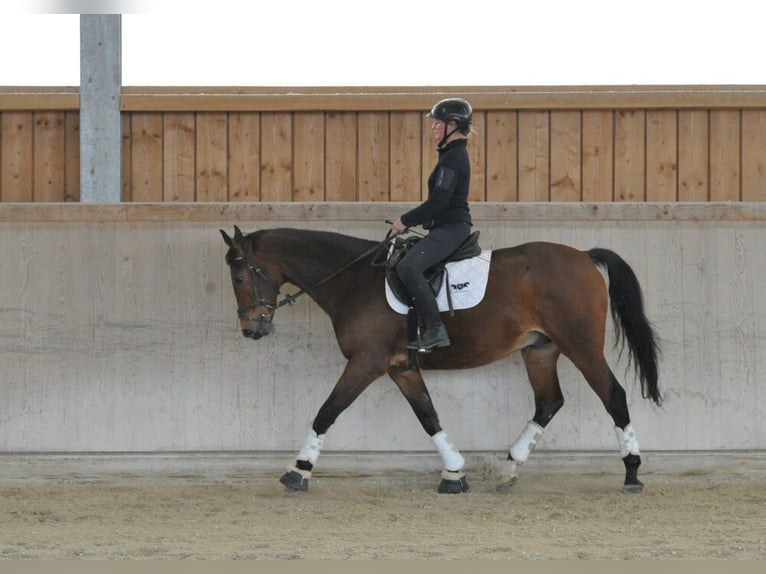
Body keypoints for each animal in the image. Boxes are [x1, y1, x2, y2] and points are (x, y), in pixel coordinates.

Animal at [220, 225, 661, 494]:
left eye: (240, 277)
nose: (252, 329)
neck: (354, 281)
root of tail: (584, 256)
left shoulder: (366, 363)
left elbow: (327, 411)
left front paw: (298, 470)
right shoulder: (401, 368)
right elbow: (428, 416)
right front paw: (454, 473)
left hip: (581, 345)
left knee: (614, 396)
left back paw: (632, 472)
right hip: (540, 350)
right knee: (549, 402)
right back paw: (508, 469)